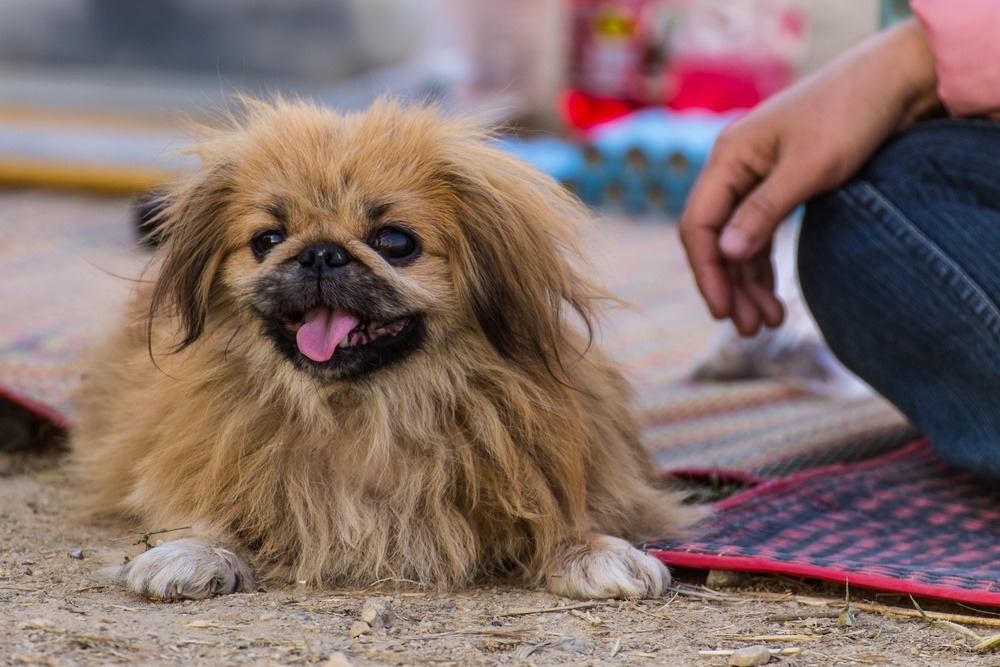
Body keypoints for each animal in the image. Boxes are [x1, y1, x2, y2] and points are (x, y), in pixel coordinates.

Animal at [72, 98, 704, 600]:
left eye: (395, 242)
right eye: (267, 240)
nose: (320, 252)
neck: (365, 411)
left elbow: (568, 511)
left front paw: (596, 550)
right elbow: (207, 511)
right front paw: (194, 552)